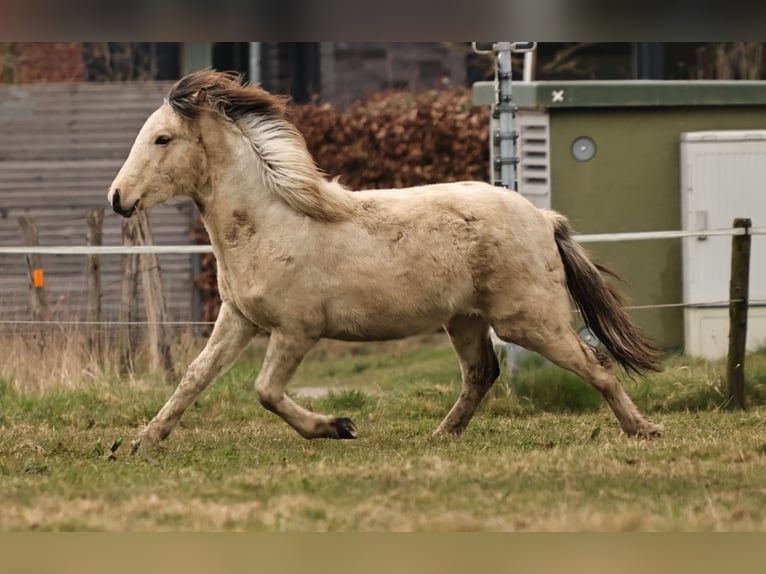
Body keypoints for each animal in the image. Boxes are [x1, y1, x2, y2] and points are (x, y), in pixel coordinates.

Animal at [108, 70, 663, 452]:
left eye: (163, 138)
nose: (118, 198)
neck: (270, 221)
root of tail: (543, 216)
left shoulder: (296, 329)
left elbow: (265, 390)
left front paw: (337, 427)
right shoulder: (239, 318)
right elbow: (194, 377)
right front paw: (140, 443)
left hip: (530, 321)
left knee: (597, 365)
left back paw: (644, 429)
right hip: (465, 320)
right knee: (481, 374)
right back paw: (441, 435)